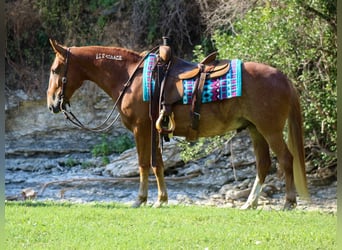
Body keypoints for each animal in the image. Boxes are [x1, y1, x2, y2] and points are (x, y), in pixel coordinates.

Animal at [46, 39, 310, 209]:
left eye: (55, 69)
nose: (51, 104)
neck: (130, 77)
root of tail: (283, 77)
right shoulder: (154, 130)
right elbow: (158, 165)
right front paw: (161, 199)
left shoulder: (141, 129)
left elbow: (144, 164)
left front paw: (141, 200)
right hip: (256, 130)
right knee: (263, 164)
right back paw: (250, 203)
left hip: (270, 130)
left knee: (286, 159)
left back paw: (288, 203)